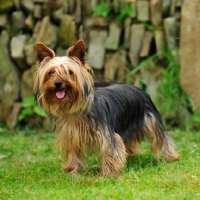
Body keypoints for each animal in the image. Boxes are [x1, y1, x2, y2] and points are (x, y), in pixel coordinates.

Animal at [33, 39, 180, 177]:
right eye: (51, 72)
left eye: (70, 72)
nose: (58, 83)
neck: (75, 111)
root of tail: (139, 88)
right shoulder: (70, 135)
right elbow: (72, 152)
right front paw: (72, 170)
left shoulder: (106, 134)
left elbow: (110, 150)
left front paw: (109, 174)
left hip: (150, 120)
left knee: (161, 138)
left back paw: (172, 157)